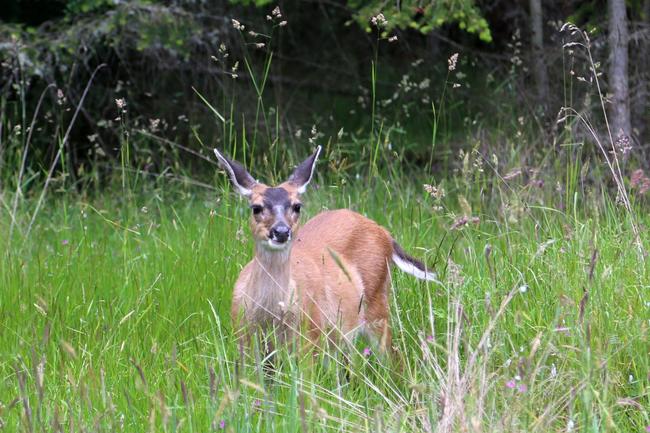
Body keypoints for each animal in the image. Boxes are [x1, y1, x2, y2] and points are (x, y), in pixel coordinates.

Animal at [214, 145, 436, 354]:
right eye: (256, 208)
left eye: (297, 206)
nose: (281, 231)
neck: (269, 316)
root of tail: (384, 232)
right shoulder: (243, 339)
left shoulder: (309, 340)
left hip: (377, 304)